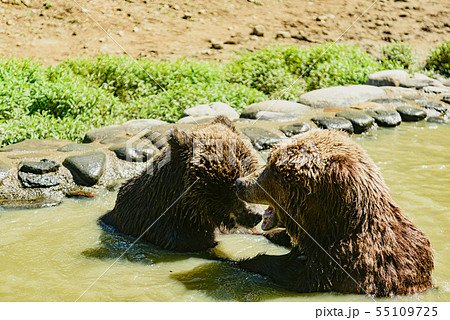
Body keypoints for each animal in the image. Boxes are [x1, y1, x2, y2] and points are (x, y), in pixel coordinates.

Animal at [236, 129, 432, 296]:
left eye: (273, 169)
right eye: (270, 159)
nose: (240, 183)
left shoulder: (342, 265)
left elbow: (293, 272)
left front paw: (248, 260)